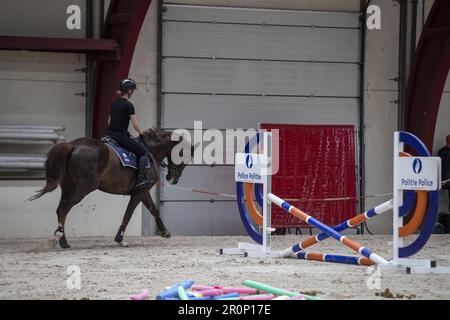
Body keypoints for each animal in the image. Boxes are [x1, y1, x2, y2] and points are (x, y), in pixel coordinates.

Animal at [28, 129, 193, 249]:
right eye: (184, 156)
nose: (173, 178)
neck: (150, 151)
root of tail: (73, 145)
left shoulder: (143, 191)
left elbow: (154, 209)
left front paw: (164, 231)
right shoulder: (140, 191)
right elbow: (128, 213)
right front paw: (120, 239)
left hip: (68, 188)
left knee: (60, 209)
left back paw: (63, 240)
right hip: (82, 189)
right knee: (64, 209)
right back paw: (60, 237)